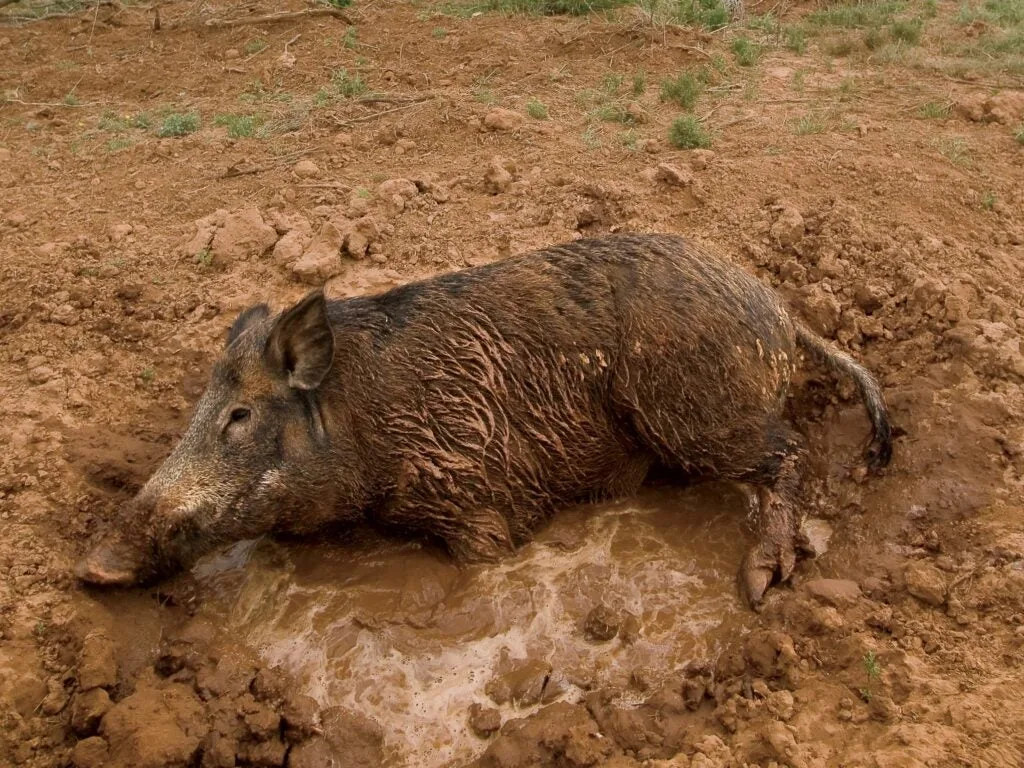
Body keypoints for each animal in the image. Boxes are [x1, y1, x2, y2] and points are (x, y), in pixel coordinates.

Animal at [75, 231, 888, 606]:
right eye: (198, 407)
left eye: (240, 413)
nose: (91, 565)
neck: (362, 425)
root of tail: (777, 309)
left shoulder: (472, 497)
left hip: (697, 412)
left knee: (788, 450)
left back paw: (759, 584)